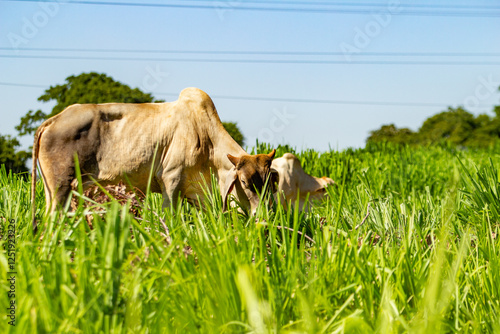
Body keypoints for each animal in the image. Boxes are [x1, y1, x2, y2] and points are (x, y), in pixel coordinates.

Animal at [31, 87, 278, 231]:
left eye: (269, 182)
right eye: (244, 182)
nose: (262, 216)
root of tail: (52, 120)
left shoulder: (198, 194)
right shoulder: (171, 180)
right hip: (60, 189)